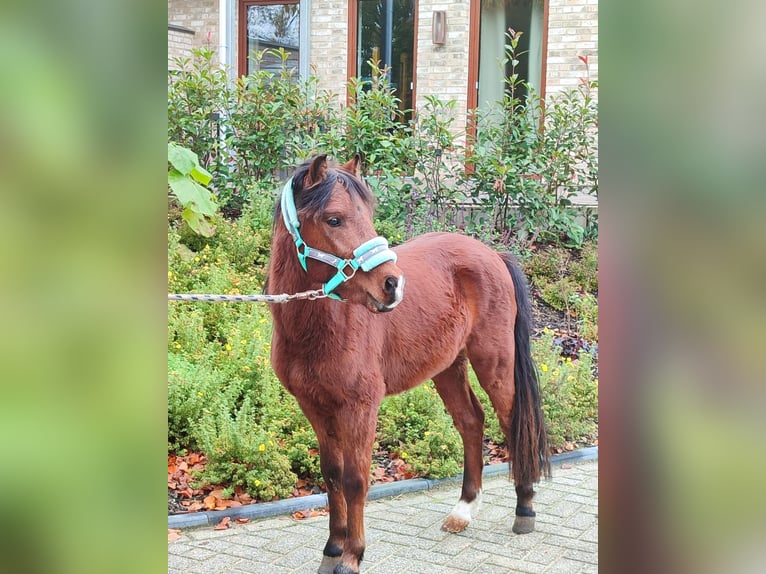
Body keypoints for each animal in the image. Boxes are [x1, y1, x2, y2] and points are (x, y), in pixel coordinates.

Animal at [270, 155, 552, 574]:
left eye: (368, 214)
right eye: (334, 219)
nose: (392, 285)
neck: (322, 327)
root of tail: (493, 256)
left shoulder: (360, 407)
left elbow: (355, 480)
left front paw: (352, 556)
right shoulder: (314, 407)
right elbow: (332, 475)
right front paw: (332, 548)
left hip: (495, 363)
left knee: (512, 422)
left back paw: (525, 509)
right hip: (448, 368)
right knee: (471, 422)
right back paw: (463, 511)